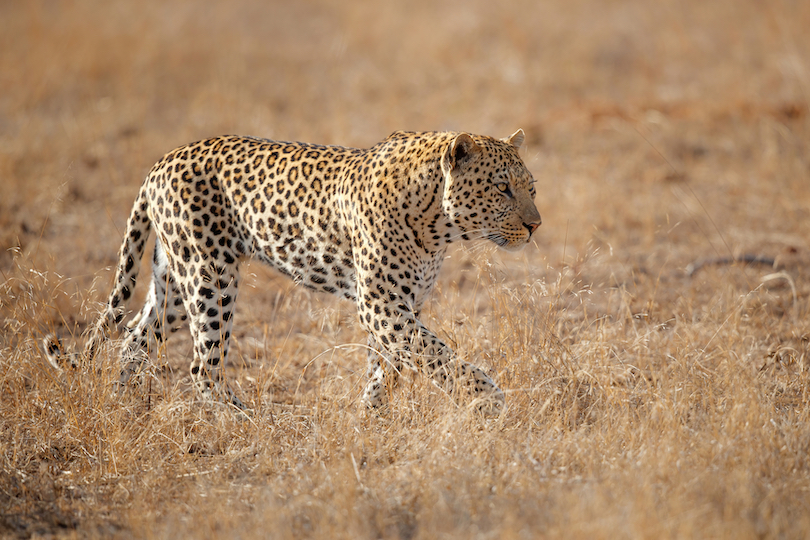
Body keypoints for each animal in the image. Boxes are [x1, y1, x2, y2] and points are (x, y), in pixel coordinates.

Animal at [42, 130, 536, 414]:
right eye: (502, 189)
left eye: (530, 187)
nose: (537, 225)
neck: (438, 221)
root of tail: (160, 163)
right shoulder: (382, 305)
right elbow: (438, 355)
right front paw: (489, 399)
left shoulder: (403, 304)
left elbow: (391, 362)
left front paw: (371, 415)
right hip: (210, 278)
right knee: (202, 365)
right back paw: (247, 420)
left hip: (174, 282)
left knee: (132, 340)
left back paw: (122, 405)